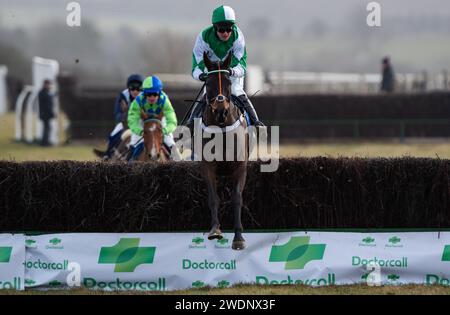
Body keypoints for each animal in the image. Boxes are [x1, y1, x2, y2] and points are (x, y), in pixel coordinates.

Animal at [199, 52, 250, 252]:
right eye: (208, 83)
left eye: (228, 82)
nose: (221, 111)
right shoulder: (208, 167)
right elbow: (213, 198)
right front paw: (215, 229)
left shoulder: (240, 167)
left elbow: (237, 198)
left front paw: (239, 237)